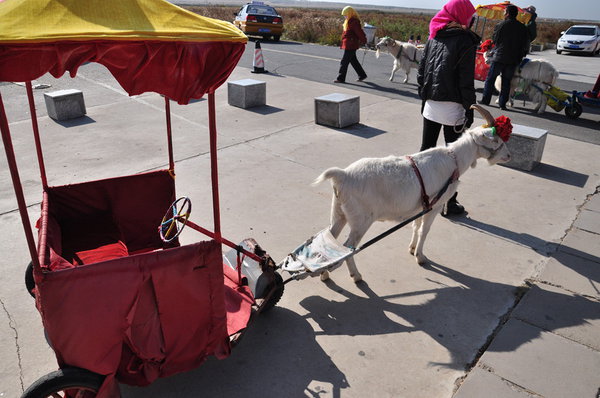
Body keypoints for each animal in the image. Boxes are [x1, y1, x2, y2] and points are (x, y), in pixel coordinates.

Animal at [314, 104, 510, 282]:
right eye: (497, 141)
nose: (508, 156)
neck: (454, 160)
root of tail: (343, 175)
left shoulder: (421, 205)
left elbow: (416, 227)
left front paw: (412, 248)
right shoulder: (435, 205)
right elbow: (424, 230)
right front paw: (420, 257)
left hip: (339, 212)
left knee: (329, 237)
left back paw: (324, 273)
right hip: (361, 219)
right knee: (348, 247)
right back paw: (356, 276)